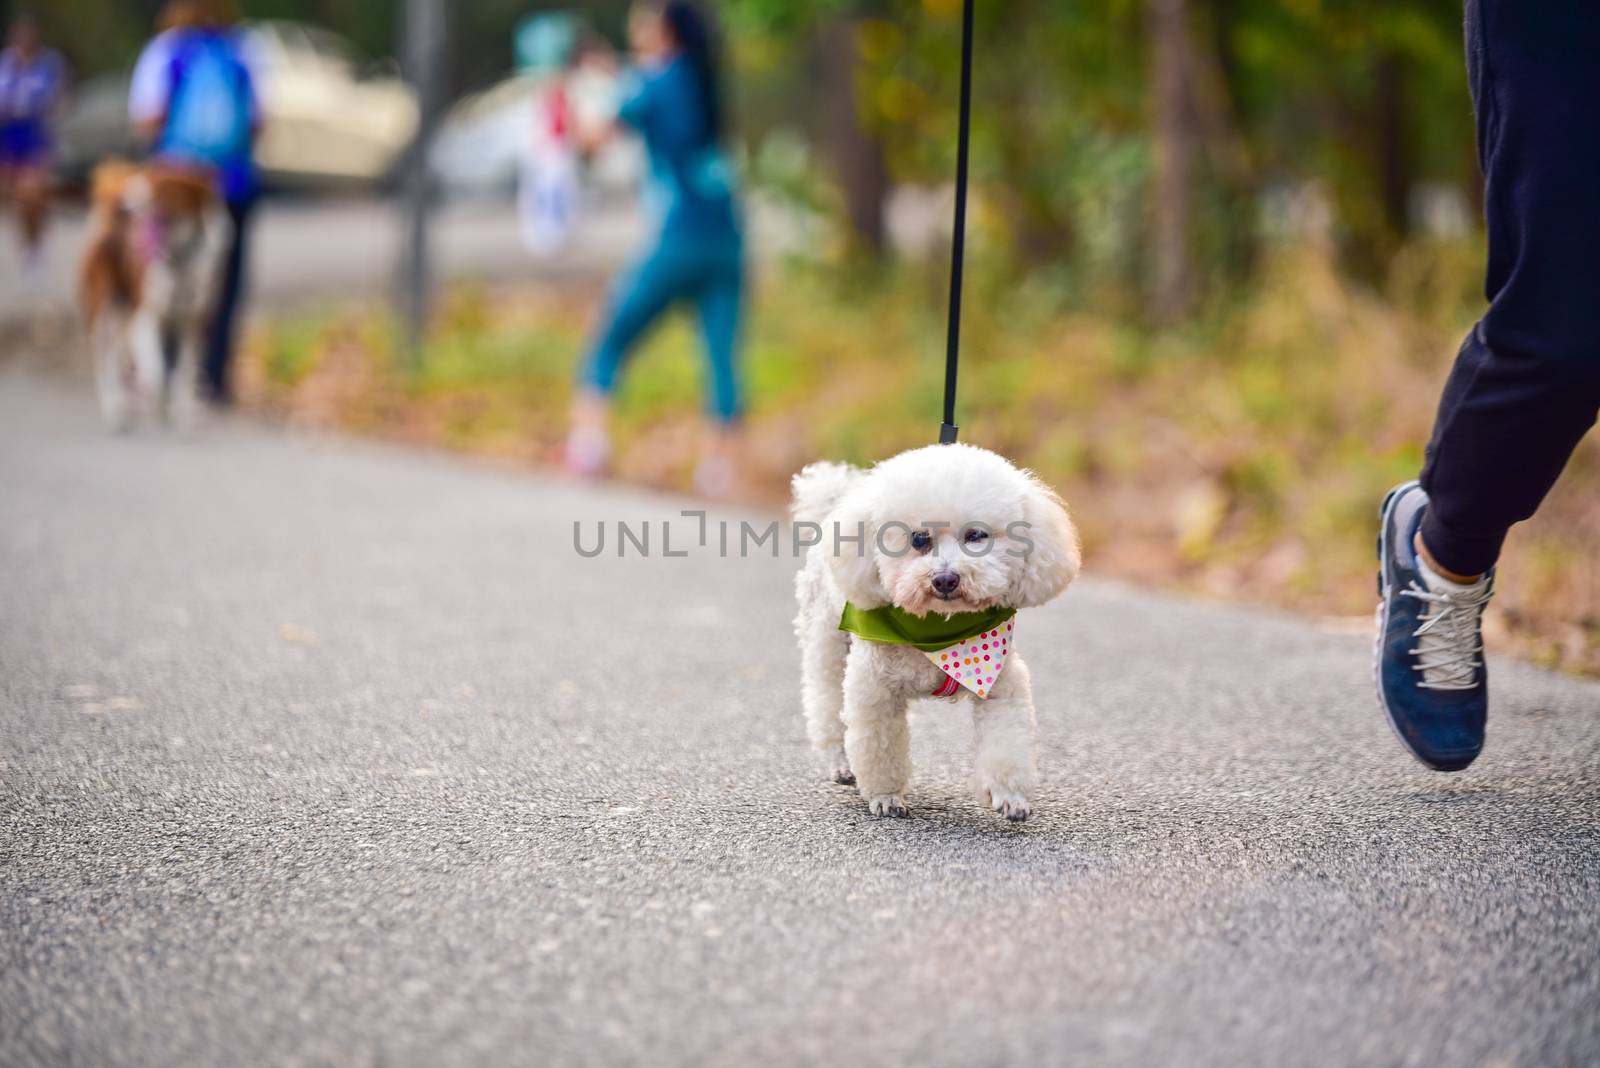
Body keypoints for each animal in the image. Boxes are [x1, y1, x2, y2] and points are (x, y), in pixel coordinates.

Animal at [79, 163, 225, 428]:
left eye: (160, 190)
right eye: (147, 181)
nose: (126, 203)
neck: (179, 260)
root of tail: (111, 220)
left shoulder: (192, 323)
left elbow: (184, 372)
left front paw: (181, 412)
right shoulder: (145, 318)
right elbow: (156, 368)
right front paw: (153, 396)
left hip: (124, 314)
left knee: (118, 352)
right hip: (102, 310)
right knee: (104, 357)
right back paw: (114, 406)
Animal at [793, 447, 1081, 824]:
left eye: (976, 535)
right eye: (918, 539)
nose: (945, 579)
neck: (940, 629)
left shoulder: (1002, 685)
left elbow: (1007, 740)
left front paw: (1009, 795)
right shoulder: (873, 687)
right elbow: (878, 745)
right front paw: (886, 796)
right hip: (826, 643)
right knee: (826, 705)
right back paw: (841, 763)